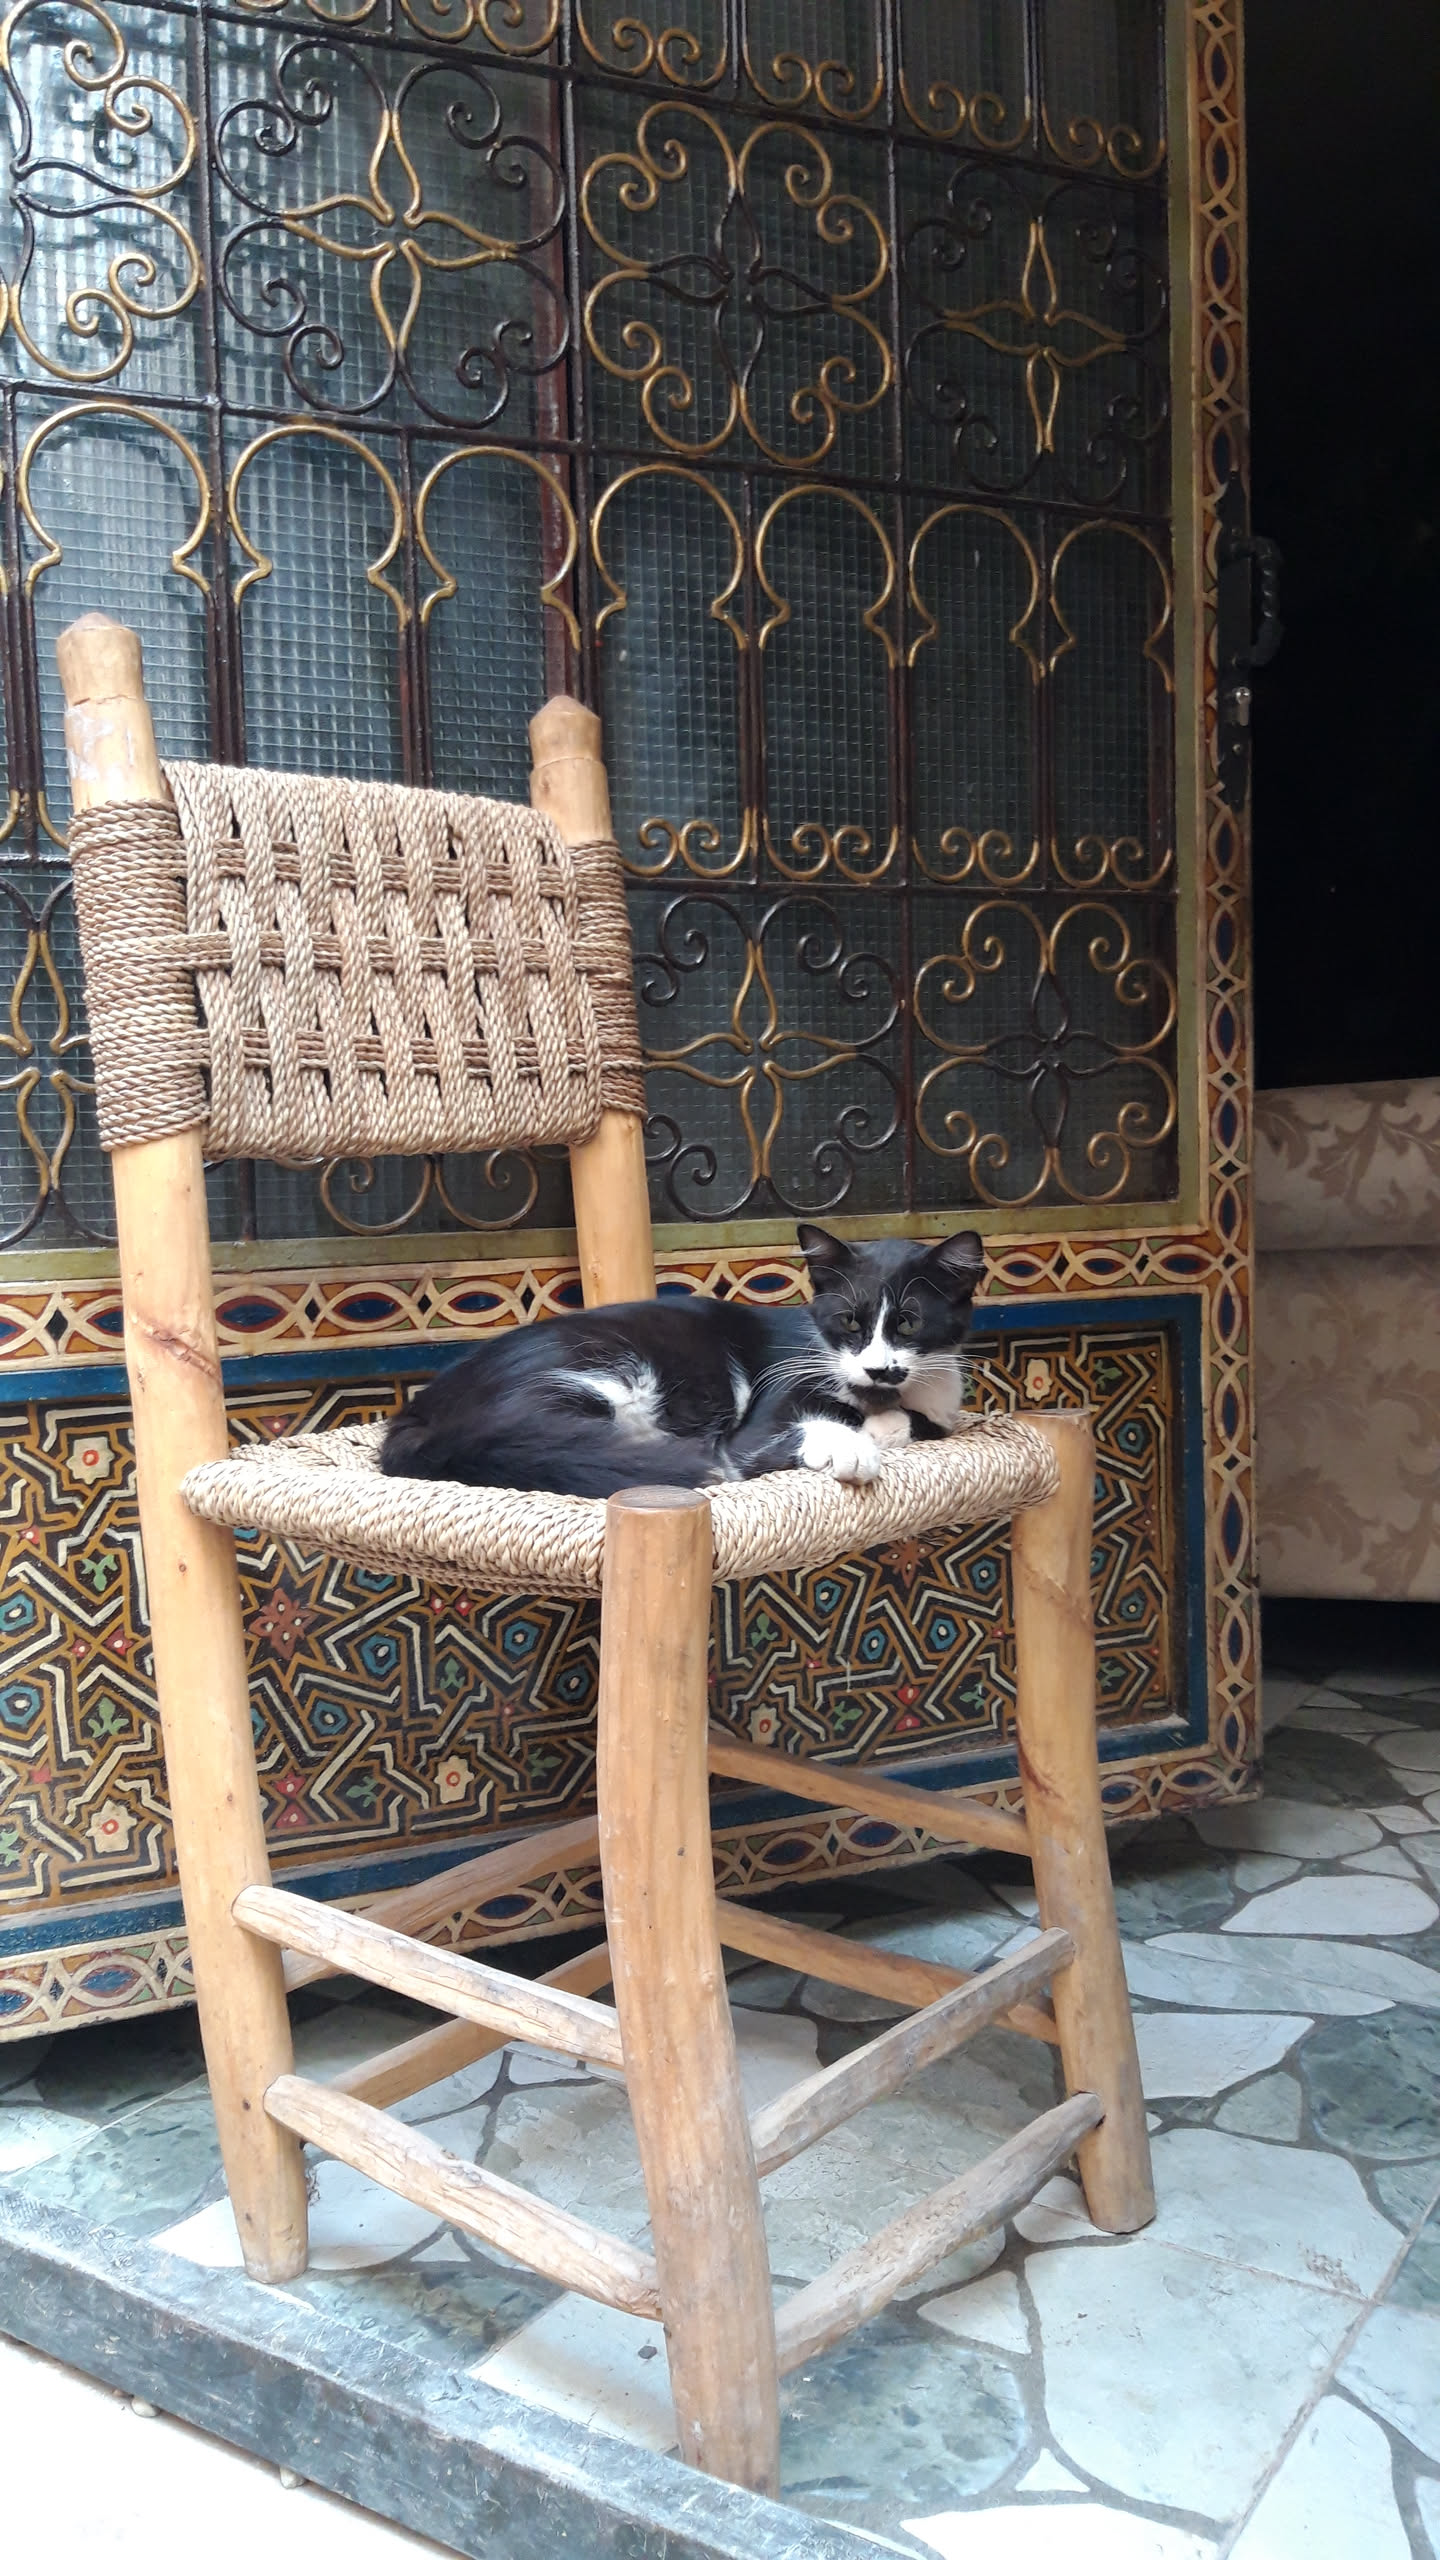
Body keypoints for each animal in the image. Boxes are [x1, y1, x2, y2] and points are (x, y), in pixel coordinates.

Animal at [379, 1223, 985, 1499]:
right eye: (850, 1322)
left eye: (908, 1324)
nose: (877, 1368)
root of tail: (418, 1414)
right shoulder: (761, 1416)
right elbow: (775, 1438)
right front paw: (851, 1444)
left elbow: (923, 1422)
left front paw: (886, 1423)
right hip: (591, 1373)